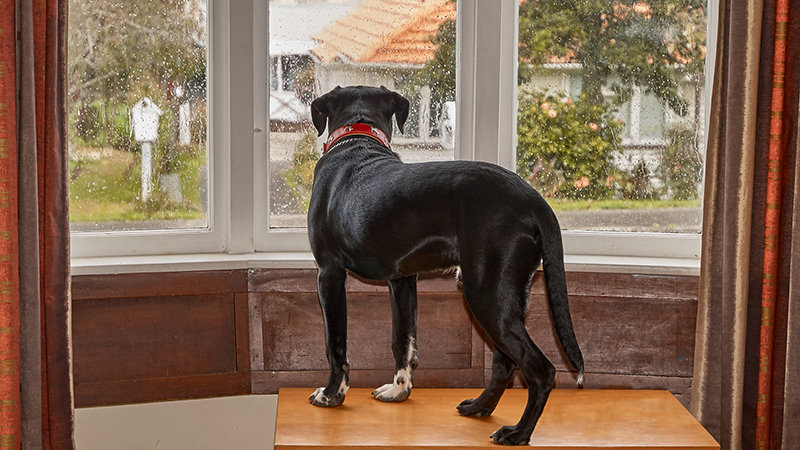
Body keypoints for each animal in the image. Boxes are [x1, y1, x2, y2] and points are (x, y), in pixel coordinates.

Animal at [304, 86, 580, 444]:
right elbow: (403, 339)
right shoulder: (403, 280)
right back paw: (480, 407)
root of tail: (535, 200)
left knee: (541, 369)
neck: (357, 137)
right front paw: (398, 391)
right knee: (505, 364)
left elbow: (336, 343)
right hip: (504, 295)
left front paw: (331, 394)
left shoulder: (329, 273)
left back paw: (519, 432)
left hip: (486, 295)